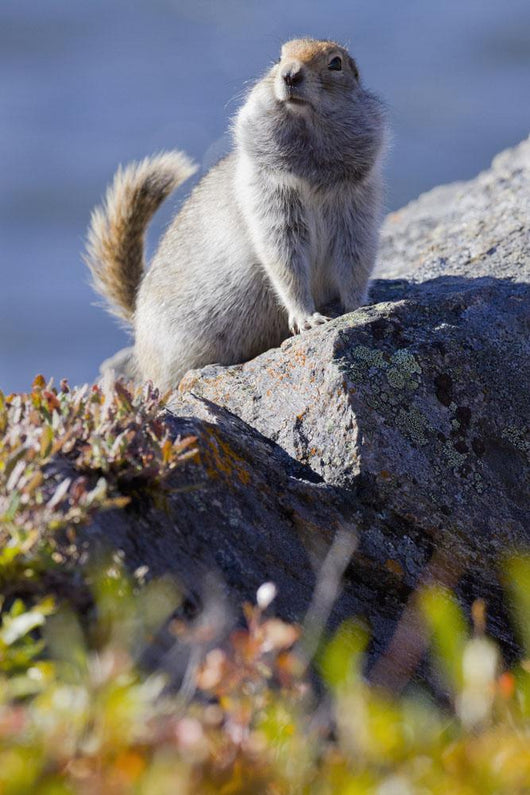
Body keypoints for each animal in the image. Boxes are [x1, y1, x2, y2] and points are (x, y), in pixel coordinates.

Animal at [86, 38, 387, 391]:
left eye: (335, 63)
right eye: (278, 57)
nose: (289, 74)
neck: (308, 141)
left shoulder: (358, 207)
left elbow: (355, 258)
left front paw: (358, 305)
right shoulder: (271, 204)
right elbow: (285, 263)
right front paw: (308, 317)